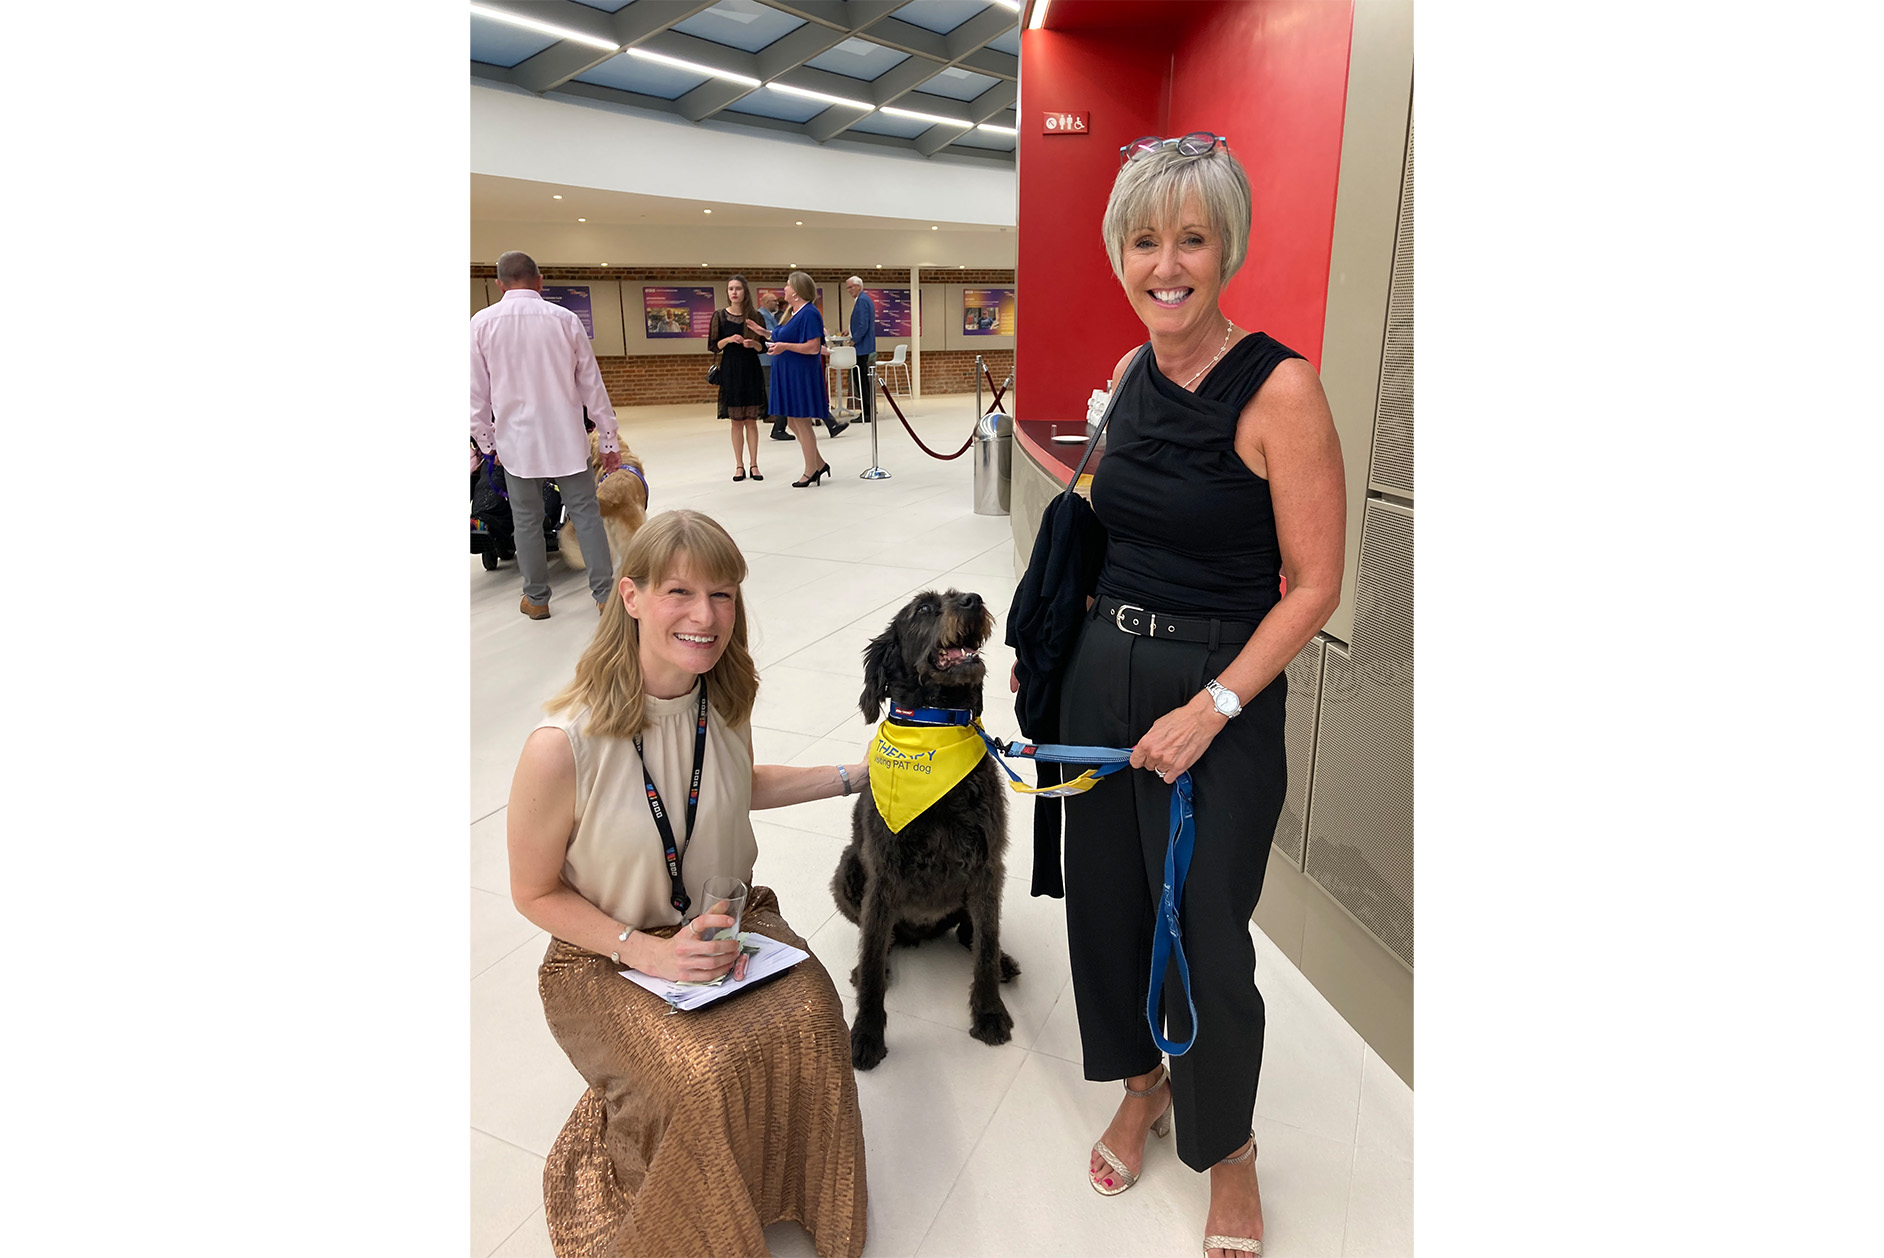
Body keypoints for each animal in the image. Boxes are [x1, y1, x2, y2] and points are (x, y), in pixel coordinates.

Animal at [836, 591, 1017, 1069]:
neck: (935, 728)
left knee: (974, 932)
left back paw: (1001, 961)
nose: (973, 600)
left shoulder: (987, 865)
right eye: (922, 609)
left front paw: (989, 1012)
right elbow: (872, 956)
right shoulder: (883, 876)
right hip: (847, 870)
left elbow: (986, 944)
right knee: (879, 941)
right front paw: (866, 1033)